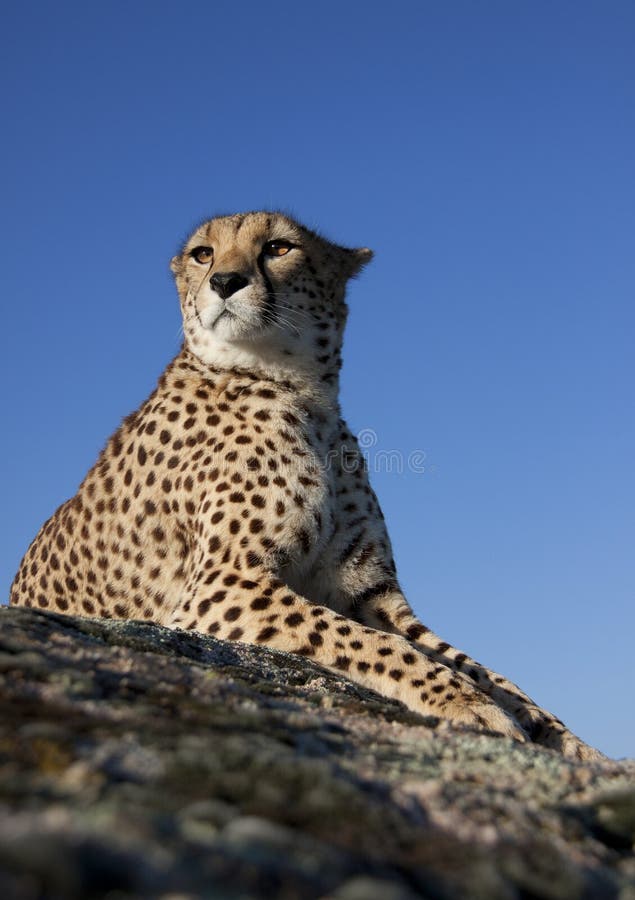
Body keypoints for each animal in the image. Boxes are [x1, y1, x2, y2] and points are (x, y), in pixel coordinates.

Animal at [10, 210, 602, 761]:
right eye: (203, 253)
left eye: (278, 247)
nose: (225, 281)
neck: (301, 391)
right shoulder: (223, 587)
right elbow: (371, 644)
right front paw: (468, 704)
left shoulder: (372, 594)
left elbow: (484, 668)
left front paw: (570, 743)